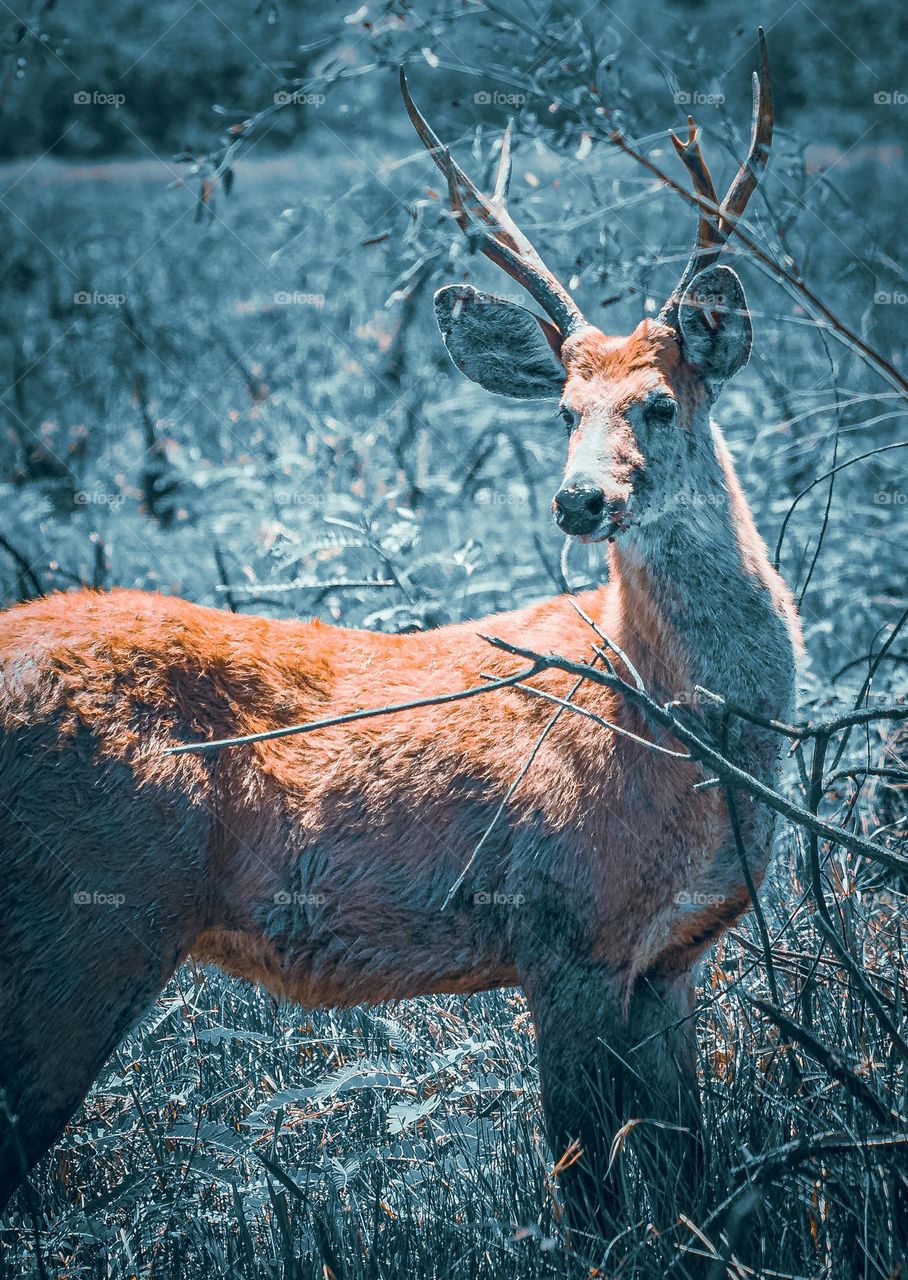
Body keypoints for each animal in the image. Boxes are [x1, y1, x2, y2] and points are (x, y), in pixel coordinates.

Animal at [0, 32, 794, 1259]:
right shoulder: (559, 930)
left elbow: (689, 1180)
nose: (577, 501)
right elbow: (589, 1206)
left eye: (659, 404)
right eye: (563, 410)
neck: (668, 728)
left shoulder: (671, 956)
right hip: (81, 914)